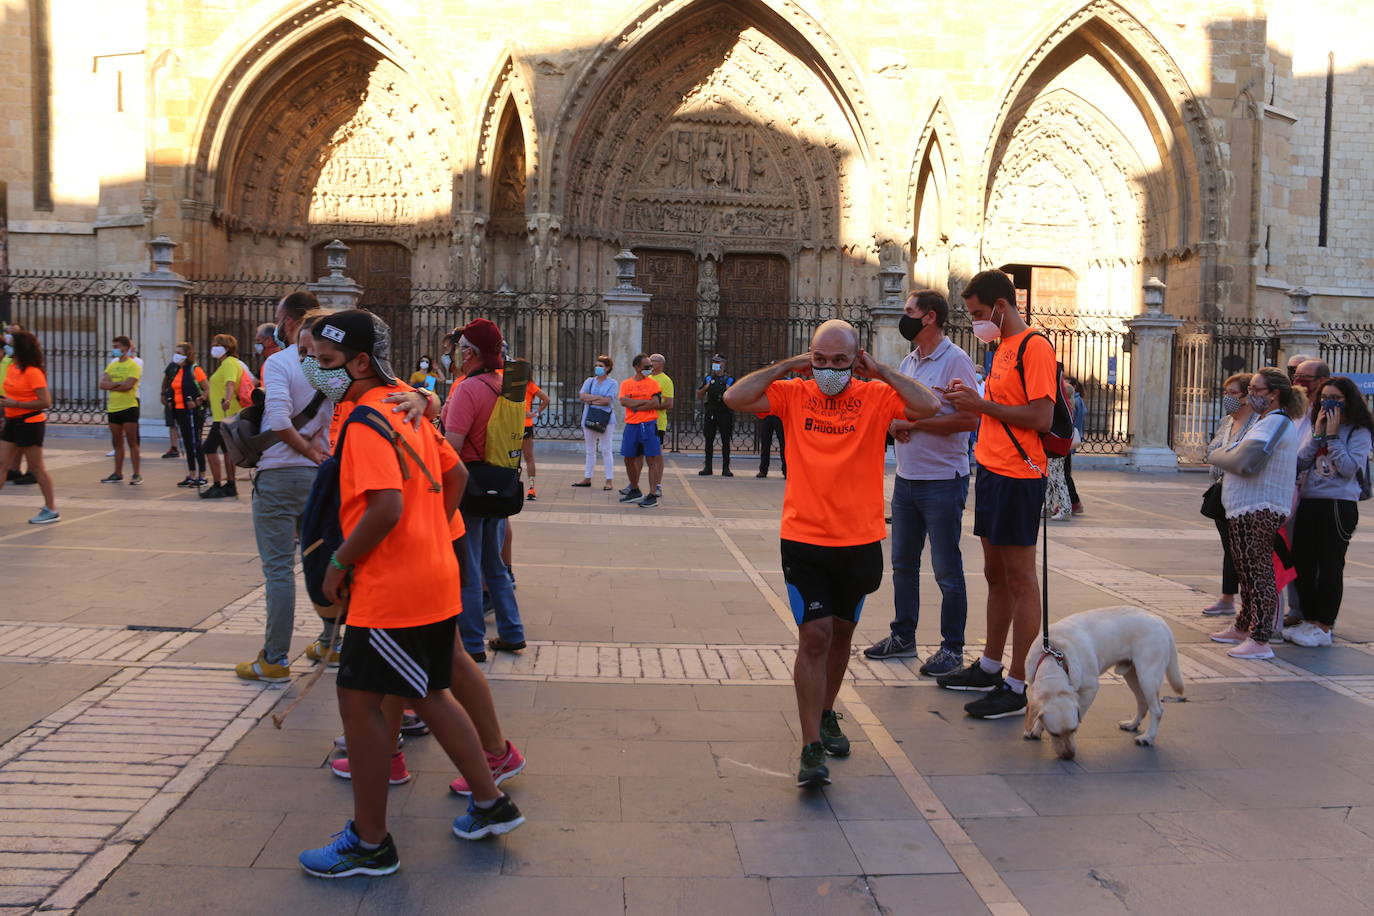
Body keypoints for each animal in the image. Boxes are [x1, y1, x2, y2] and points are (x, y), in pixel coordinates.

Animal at [1027, 609, 1187, 758]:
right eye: (1054, 734)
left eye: (1073, 730)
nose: (1069, 756)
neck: (1053, 658)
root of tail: (1160, 621)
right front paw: (1036, 729)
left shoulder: (1090, 689)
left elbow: (1080, 713)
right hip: (1133, 676)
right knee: (1143, 703)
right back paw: (1132, 725)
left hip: (1148, 677)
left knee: (1157, 710)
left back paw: (1148, 737)